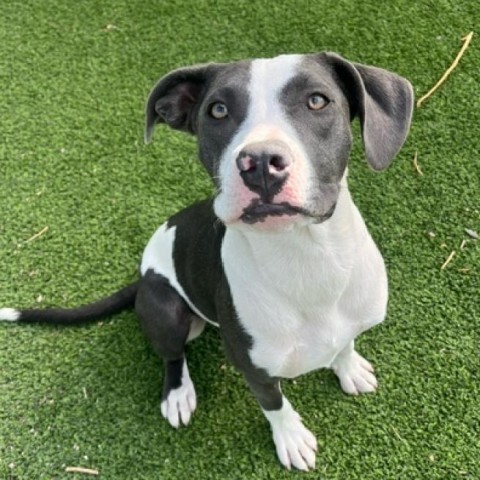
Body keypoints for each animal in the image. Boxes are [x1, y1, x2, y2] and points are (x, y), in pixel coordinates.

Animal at [0, 51, 412, 468]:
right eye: (218, 110)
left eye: (316, 100)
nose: (260, 162)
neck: (307, 259)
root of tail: (142, 276)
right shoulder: (254, 370)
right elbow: (275, 405)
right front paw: (291, 437)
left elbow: (344, 344)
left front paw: (349, 368)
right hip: (166, 308)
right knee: (172, 355)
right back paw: (178, 394)